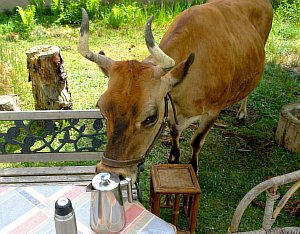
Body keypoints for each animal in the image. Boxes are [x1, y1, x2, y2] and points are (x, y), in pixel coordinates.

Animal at [78, 0, 274, 181]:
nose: (110, 173)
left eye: (150, 117)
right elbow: (174, 132)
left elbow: (196, 141)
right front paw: (173, 157)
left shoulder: (212, 112)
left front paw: (193, 167)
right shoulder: (171, 109)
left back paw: (242, 113)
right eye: (102, 111)